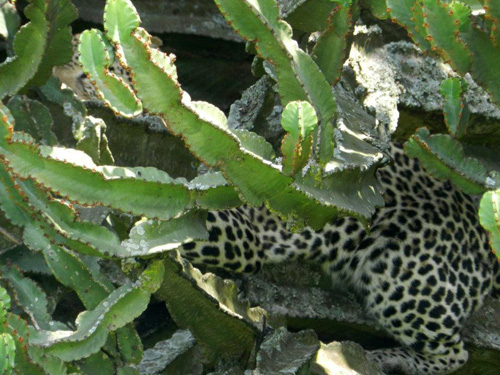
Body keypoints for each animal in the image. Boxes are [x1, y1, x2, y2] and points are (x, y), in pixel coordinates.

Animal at [56, 36, 500, 375]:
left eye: (85, 73)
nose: (57, 86)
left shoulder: (239, 233)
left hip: (398, 270)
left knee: (454, 353)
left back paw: (388, 357)